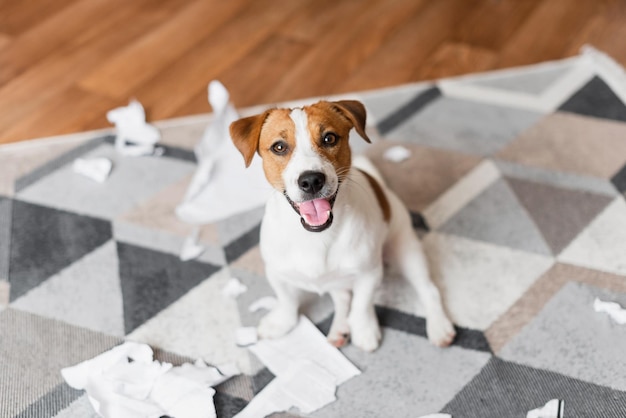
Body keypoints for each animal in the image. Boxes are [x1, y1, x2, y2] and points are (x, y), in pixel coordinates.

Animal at [229, 99, 454, 352]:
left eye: (329, 138)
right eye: (279, 147)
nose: (311, 180)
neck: (316, 236)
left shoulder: (369, 273)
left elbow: (362, 305)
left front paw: (364, 329)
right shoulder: (276, 272)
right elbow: (287, 300)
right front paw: (280, 322)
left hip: (406, 252)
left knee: (428, 290)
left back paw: (439, 327)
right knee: (343, 297)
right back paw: (339, 329)